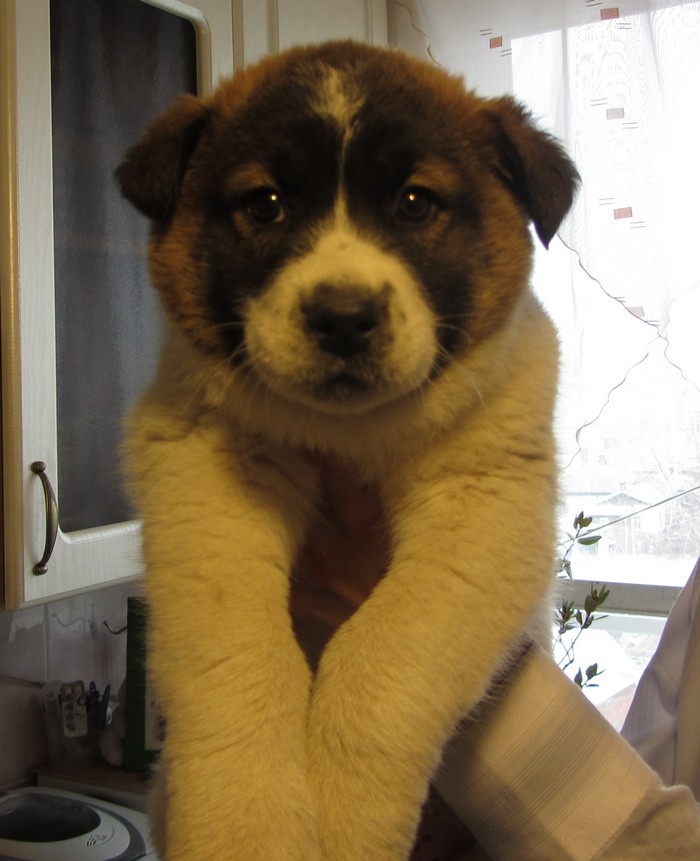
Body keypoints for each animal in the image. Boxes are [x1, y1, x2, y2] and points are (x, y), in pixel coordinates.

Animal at [117, 40, 578, 861]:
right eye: (266, 204)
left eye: (416, 203)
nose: (342, 318)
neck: (351, 431)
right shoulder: (206, 479)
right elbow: (238, 658)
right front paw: (247, 828)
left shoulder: (484, 507)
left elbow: (381, 659)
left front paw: (341, 819)